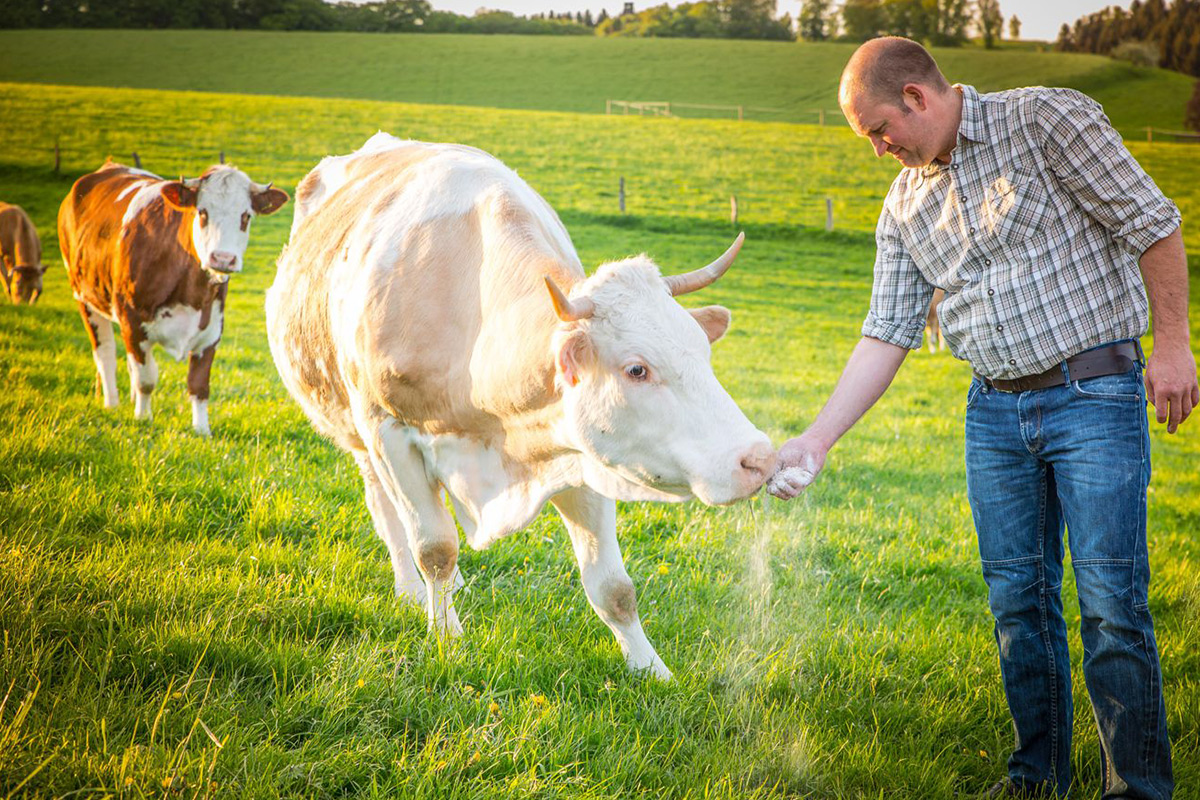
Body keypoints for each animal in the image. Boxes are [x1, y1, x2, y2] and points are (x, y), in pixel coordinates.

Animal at [59, 161, 288, 434]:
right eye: (202, 212)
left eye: (246, 216)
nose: (223, 259)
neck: (191, 290)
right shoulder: (132, 320)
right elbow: (146, 378)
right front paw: (143, 418)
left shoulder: (212, 329)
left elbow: (199, 384)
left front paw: (202, 430)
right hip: (84, 297)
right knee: (105, 354)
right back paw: (112, 404)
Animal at [266, 134, 772, 681]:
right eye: (637, 369)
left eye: (702, 349)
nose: (759, 458)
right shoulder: (390, 433)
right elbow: (434, 548)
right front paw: (446, 639)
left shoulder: (579, 450)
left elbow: (613, 587)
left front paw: (651, 671)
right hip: (356, 433)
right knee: (387, 511)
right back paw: (411, 590)